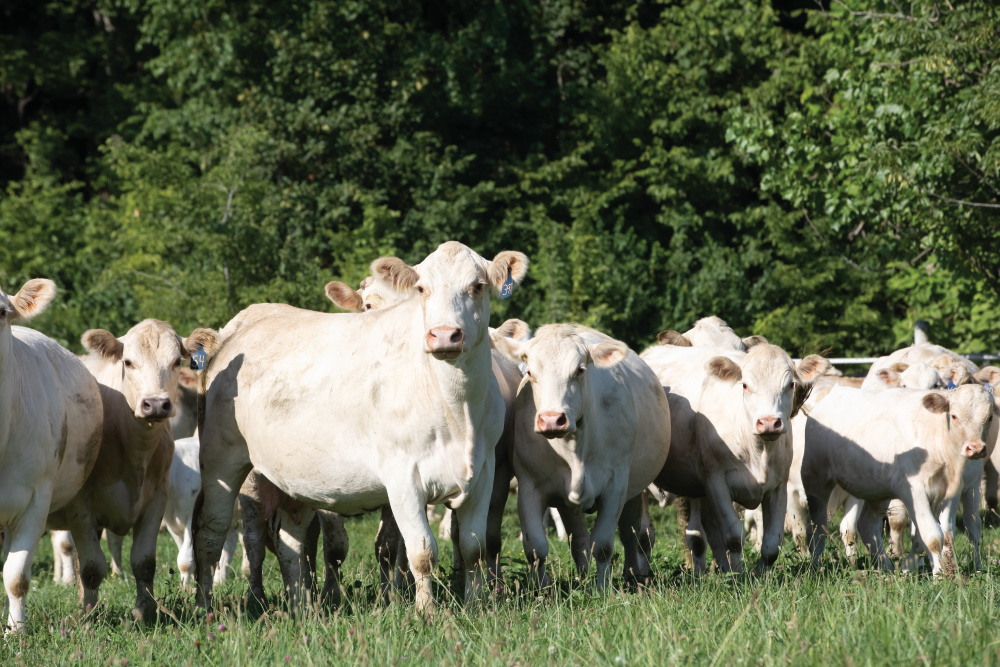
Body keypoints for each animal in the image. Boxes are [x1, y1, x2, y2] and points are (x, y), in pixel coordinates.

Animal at [44, 319, 217, 622]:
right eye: (128, 362)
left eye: (176, 361)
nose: (156, 404)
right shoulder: (80, 506)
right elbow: (91, 566)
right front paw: (89, 616)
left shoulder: (156, 499)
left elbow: (144, 562)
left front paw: (144, 610)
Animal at [192, 242, 527, 613]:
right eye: (422, 289)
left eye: (478, 286)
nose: (444, 335)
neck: (456, 409)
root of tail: (233, 331)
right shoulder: (403, 477)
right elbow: (421, 551)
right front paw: (427, 613)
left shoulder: (483, 472)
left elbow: (473, 548)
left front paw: (477, 605)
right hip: (223, 461)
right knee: (214, 534)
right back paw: (210, 606)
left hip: (294, 474)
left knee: (290, 540)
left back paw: (301, 607)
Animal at [491, 324, 670, 588]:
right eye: (530, 372)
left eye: (579, 370)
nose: (551, 420)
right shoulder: (529, 487)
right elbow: (536, 548)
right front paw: (540, 589)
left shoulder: (616, 486)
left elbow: (604, 546)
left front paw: (603, 588)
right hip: (568, 503)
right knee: (579, 541)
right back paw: (582, 577)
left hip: (634, 491)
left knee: (631, 534)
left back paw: (631, 574)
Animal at [640, 342, 829, 574]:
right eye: (745, 385)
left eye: (790, 385)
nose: (768, 422)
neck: (758, 452)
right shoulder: (716, 481)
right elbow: (733, 536)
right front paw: (738, 575)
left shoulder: (778, 486)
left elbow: (771, 544)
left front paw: (758, 574)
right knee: (644, 533)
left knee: (702, 533)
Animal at [801, 384, 996, 574]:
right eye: (954, 416)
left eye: (990, 417)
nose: (976, 448)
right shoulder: (914, 492)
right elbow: (932, 536)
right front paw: (939, 575)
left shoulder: (950, 493)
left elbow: (940, 535)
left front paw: (928, 569)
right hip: (816, 480)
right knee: (817, 526)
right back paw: (817, 564)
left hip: (876, 491)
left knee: (867, 525)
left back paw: (885, 567)